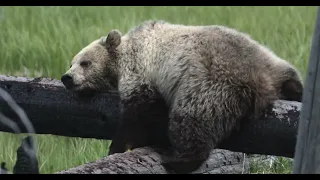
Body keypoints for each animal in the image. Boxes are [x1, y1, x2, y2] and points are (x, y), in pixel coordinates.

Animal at [61, 20, 304, 173]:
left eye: (85, 62)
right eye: (71, 62)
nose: (66, 78)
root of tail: (260, 81)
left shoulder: (142, 69)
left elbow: (139, 114)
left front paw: (117, 147)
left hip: (206, 84)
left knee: (191, 122)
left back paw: (178, 161)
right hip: (272, 62)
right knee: (291, 79)